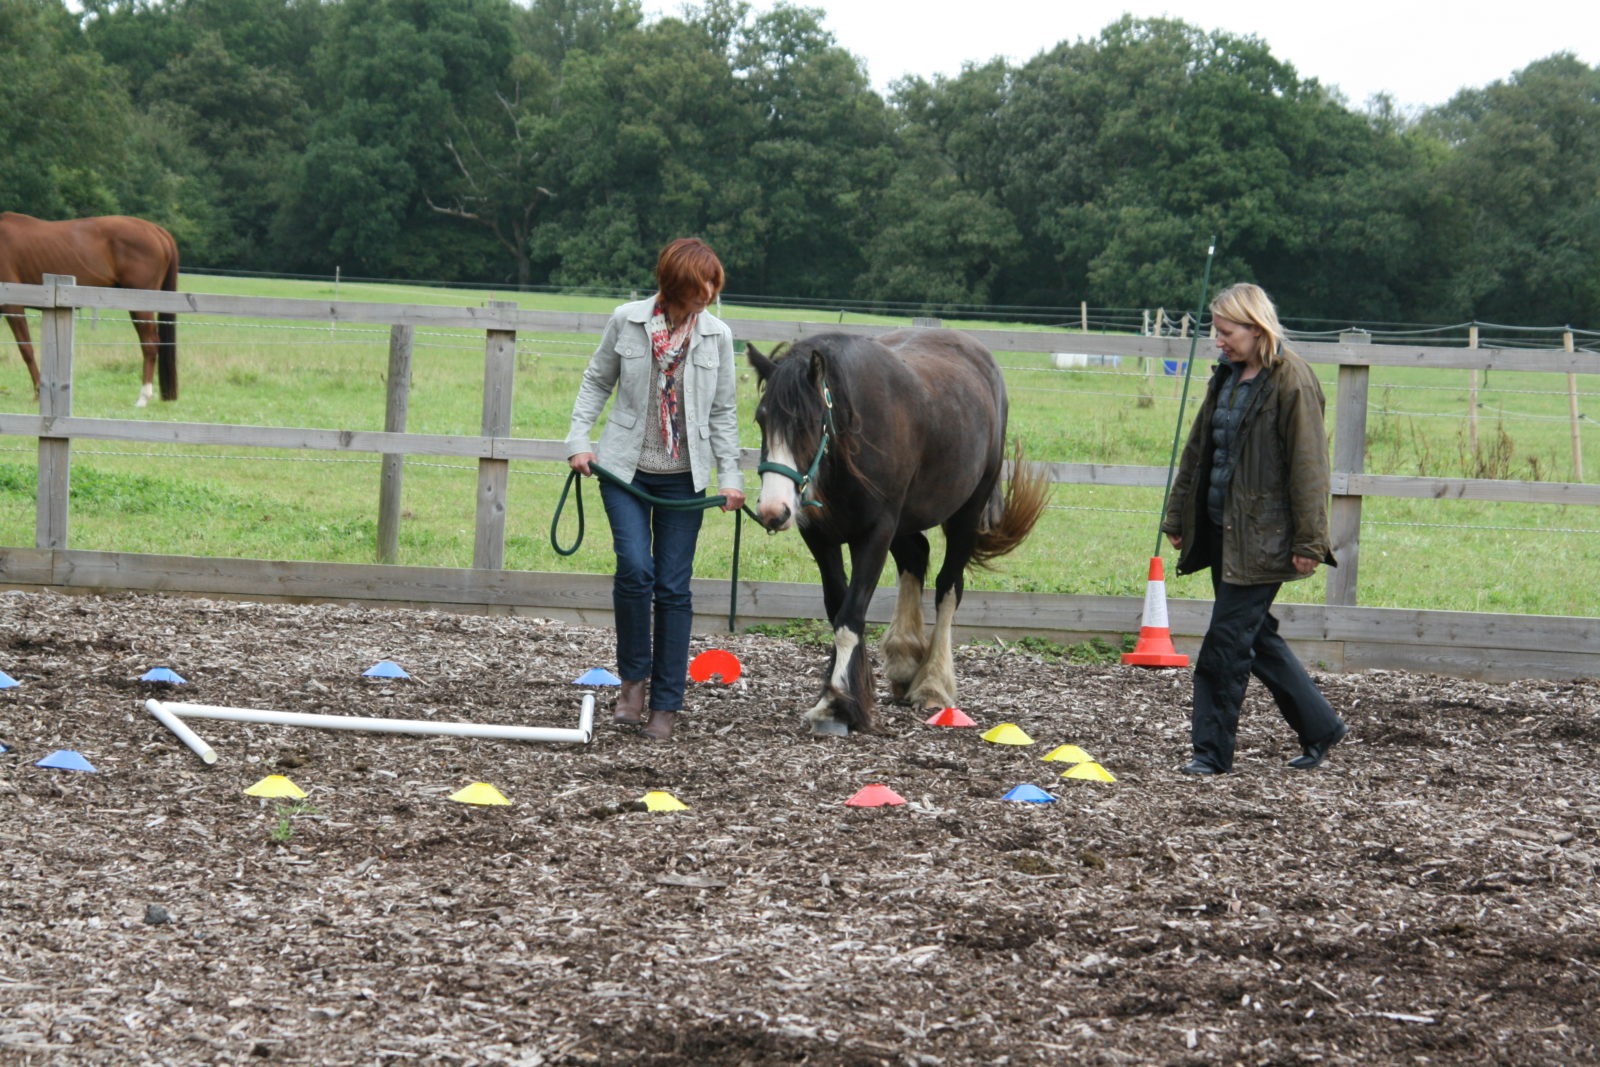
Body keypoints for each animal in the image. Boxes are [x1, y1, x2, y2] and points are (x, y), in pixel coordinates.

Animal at [0, 211, 181, 404]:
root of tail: (157, 230)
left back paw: (143, 398)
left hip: (141, 306)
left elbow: (26, 349)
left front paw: (38, 393)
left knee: (150, 344)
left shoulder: (12, 307)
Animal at [745, 329, 1049, 739]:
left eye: (809, 422)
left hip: (965, 514)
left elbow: (850, 616)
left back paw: (933, 682)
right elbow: (838, 608)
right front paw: (849, 696)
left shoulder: (875, 533)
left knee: (948, 586)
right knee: (915, 557)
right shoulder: (822, 538)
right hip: (907, 520)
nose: (773, 511)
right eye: (762, 419)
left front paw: (837, 703)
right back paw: (906, 660)